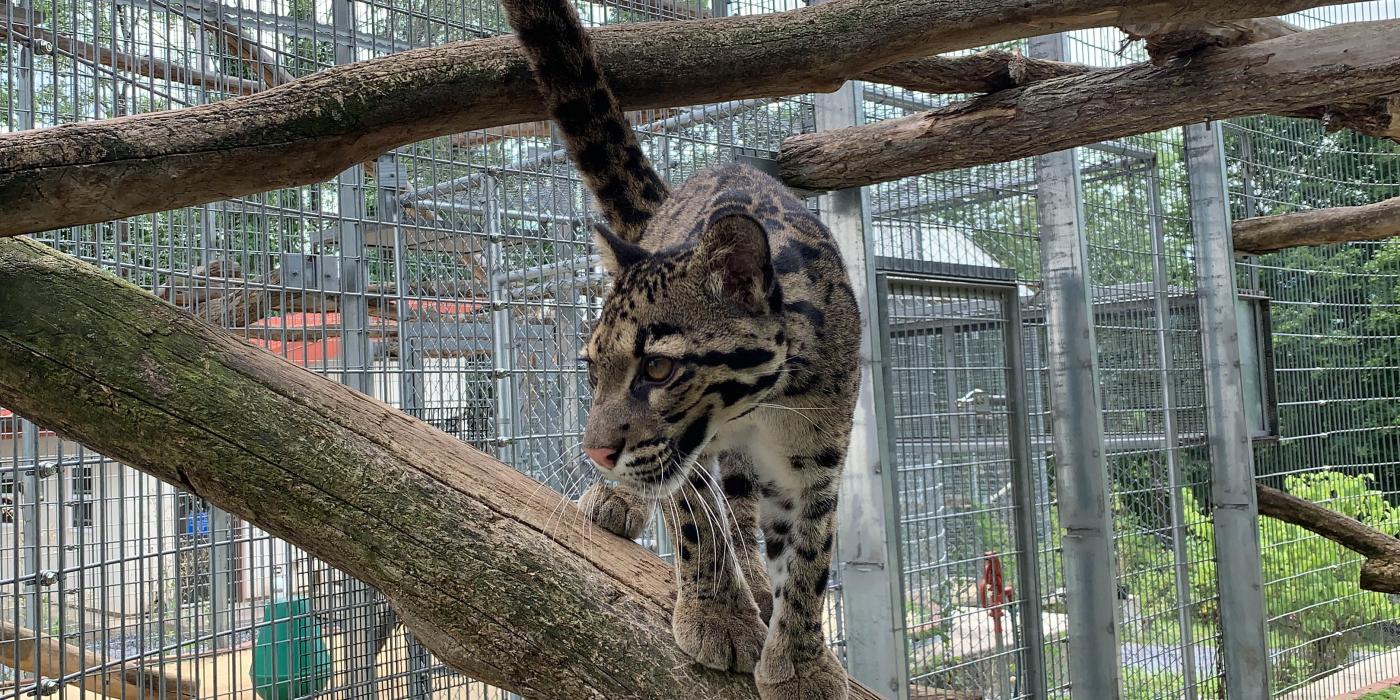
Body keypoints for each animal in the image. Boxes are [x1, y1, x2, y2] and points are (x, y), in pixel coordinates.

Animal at [498, 2, 856, 697]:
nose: (595, 452)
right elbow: (693, 518)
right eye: (591, 371)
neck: (760, 406)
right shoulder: (680, 451)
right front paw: (719, 618)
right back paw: (618, 502)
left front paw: (803, 662)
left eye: (659, 368)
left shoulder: (816, 459)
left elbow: (809, 556)